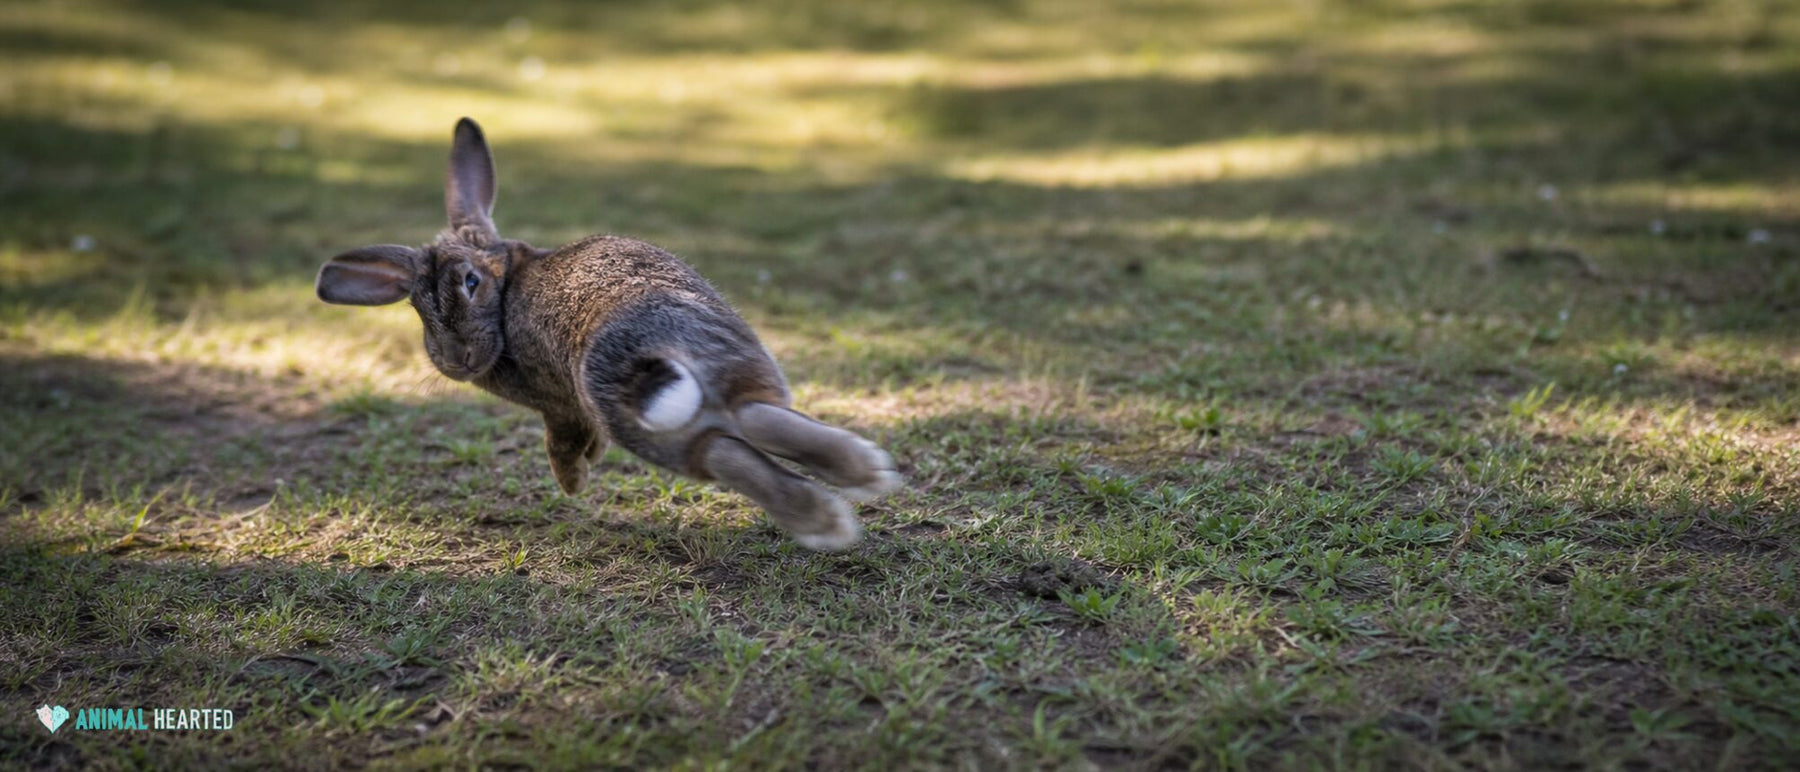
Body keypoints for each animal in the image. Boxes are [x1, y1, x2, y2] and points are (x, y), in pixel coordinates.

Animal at [314, 118, 900, 550]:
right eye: (417, 306)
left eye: (470, 283)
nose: (456, 360)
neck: (508, 288)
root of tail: (638, 357)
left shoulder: (557, 406)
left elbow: (562, 443)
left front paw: (573, 483)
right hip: (715, 372)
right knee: (739, 433)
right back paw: (851, 490)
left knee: (733, 441)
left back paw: (835, 510)